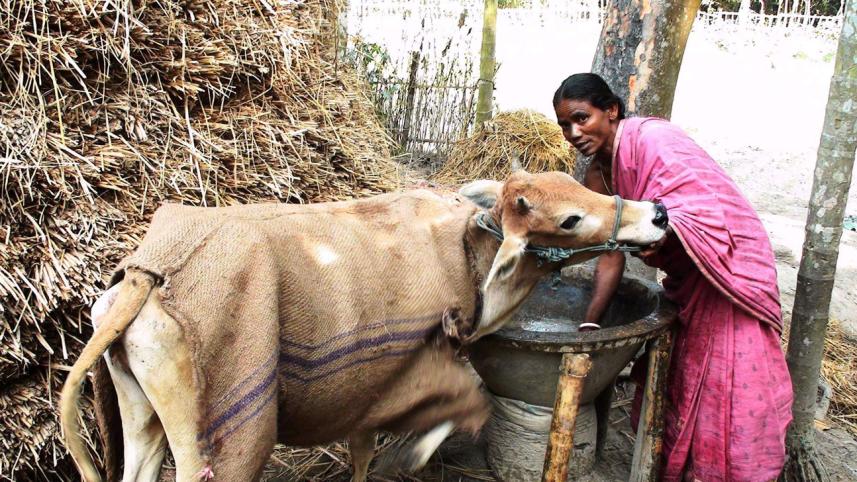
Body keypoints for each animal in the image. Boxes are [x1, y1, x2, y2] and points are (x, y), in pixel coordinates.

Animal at [60, 171, 668, 482]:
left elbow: (363, 453)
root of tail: (148, 271)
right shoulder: (412, 372)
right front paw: (414, 456)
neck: (470, 252)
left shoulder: (366, 399)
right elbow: (466, 406)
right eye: (570, 219)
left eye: (575, 183)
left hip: (142, 421)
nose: (657, 214)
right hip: (216, 447)